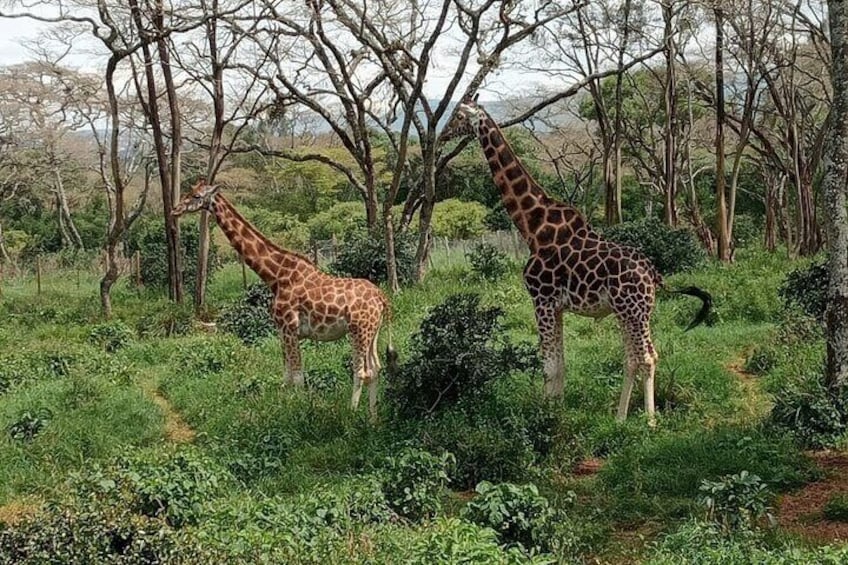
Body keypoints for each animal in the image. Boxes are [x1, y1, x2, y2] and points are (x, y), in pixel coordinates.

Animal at [173, 180, 392, 419]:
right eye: (189, 192)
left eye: (196, 196)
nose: (175, 210)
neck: (275, 275)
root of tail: (382, 297)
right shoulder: (281, 329)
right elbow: (286, 376)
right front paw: (287, 409)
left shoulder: (290, 327)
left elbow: (297, 377)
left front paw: (301, 413)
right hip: (372, 331)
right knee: (375, 369)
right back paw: (373, 417)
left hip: (358, 330)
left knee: (361, 371)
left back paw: (352, 414)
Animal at [443, 98, 711, 424]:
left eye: (458, 115)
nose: (443, 134)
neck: (533, 228)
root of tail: (653, 273)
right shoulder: (556, 306)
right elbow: (560, 364)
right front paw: (555, 412)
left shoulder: (542, 300)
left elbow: (549, 366)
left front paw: (546, 418)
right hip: (626, 311)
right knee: (632, 357)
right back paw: (619, 418)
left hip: (635, 311)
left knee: (647, 356)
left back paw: (649, 421)